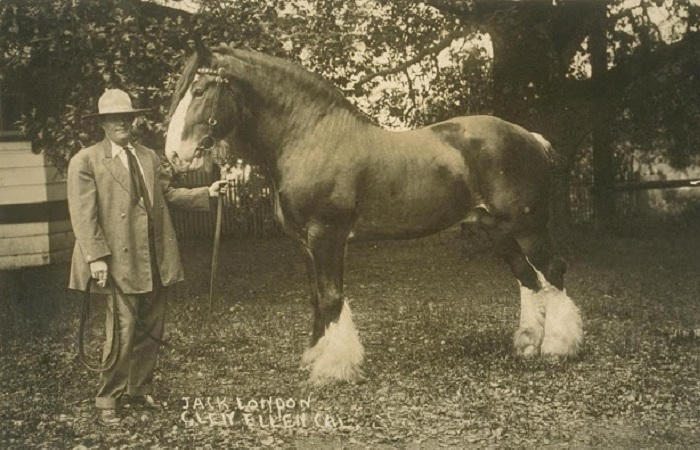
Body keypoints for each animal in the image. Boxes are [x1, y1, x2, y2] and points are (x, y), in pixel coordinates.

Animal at [167, 44, 584, 384]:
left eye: (199, 91)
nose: (173, 154)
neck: (311, 136)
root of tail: (530, 137)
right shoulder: (303, 244)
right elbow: (316, 298)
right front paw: (315, 356)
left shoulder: (327, 235)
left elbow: (332, 297)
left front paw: (333, 369)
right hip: (497, 230)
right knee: (527, 278)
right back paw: (527, 345)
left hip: (529, 226)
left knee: (553, 270)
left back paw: (558, 348)